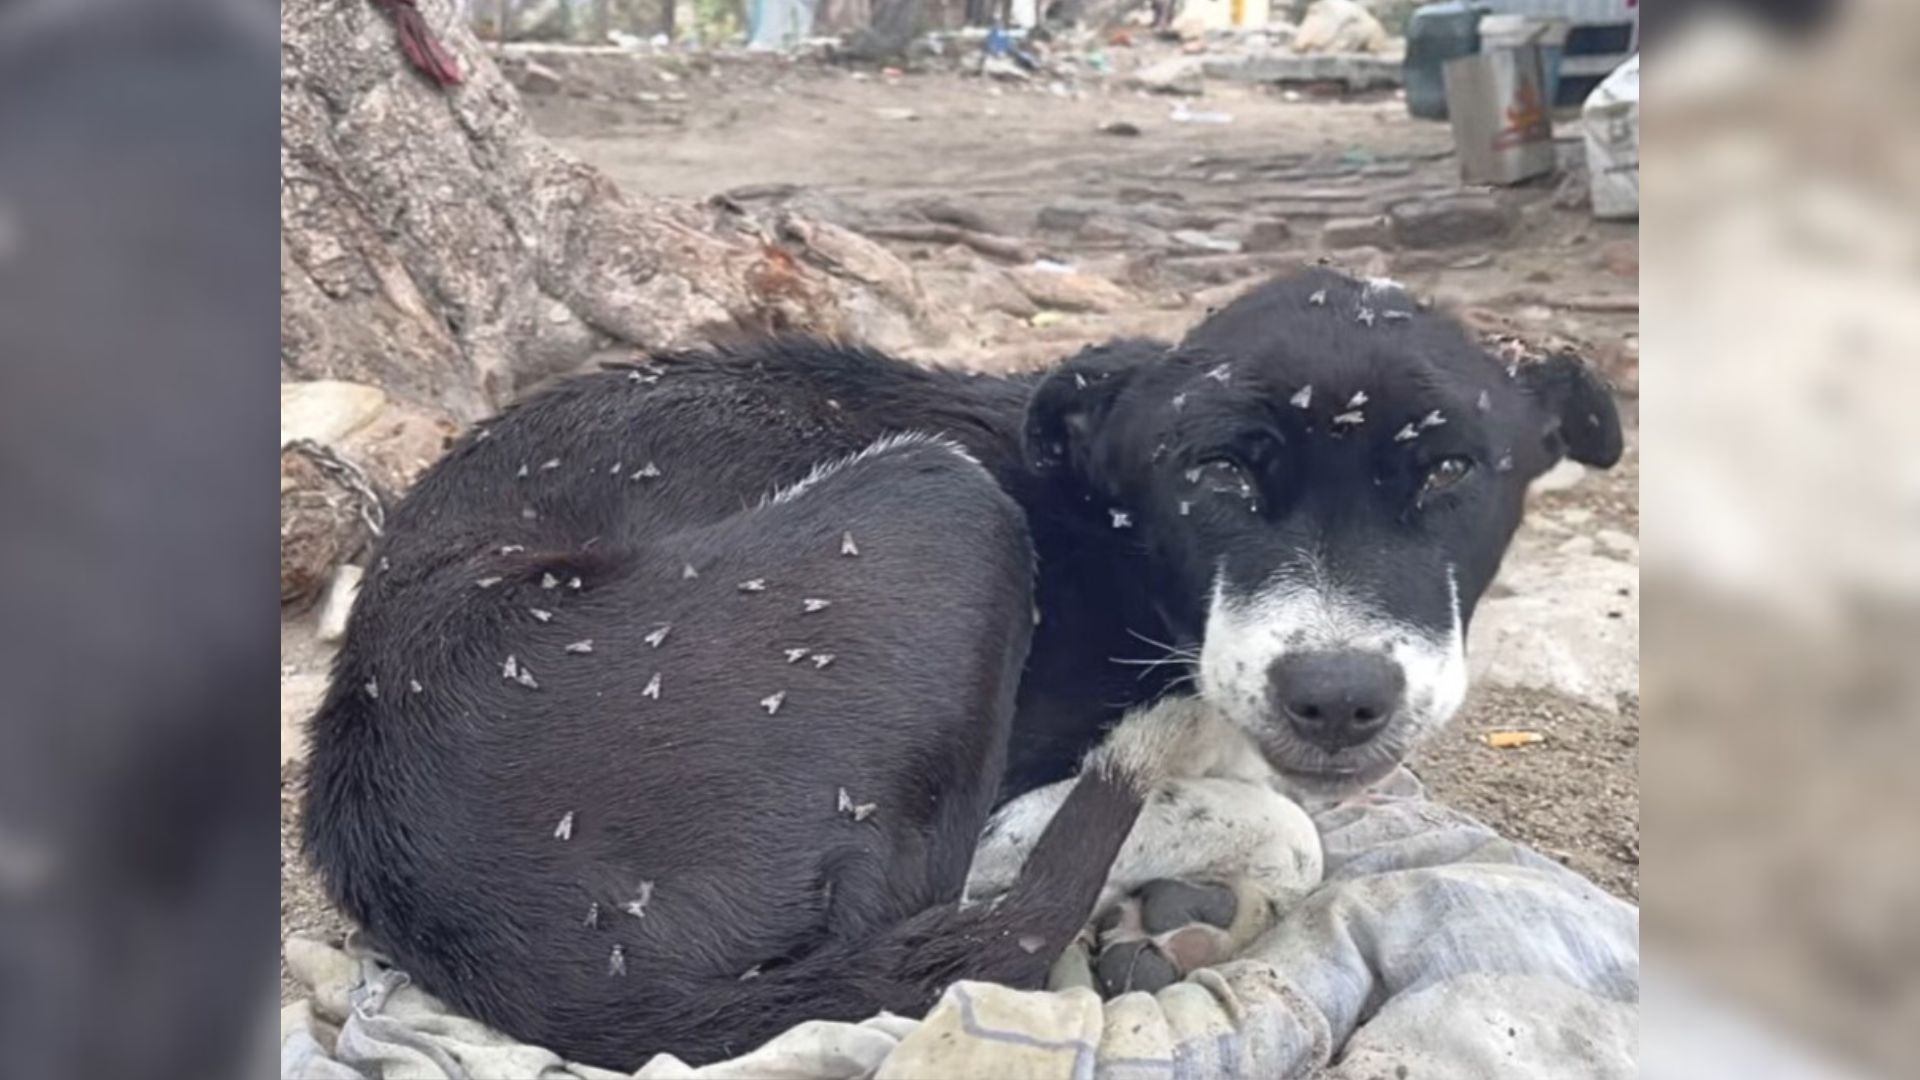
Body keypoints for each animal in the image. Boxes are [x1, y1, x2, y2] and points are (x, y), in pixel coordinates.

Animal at [299, 267, 1620, 1060]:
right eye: (1218, 475)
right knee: (926, 913)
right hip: (941, 498)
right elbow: (1277, 832)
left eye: (1451, 472)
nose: (1339, 699)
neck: (1120, 542)